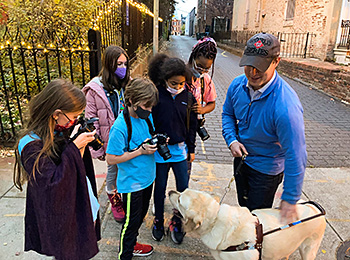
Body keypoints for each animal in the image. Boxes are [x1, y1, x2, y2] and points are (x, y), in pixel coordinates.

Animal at [169, 189, 326, 260]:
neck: (215, 220)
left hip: (308, 251)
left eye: (180, 200)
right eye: (182, 191)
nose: (170, 191)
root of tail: (316, 208)